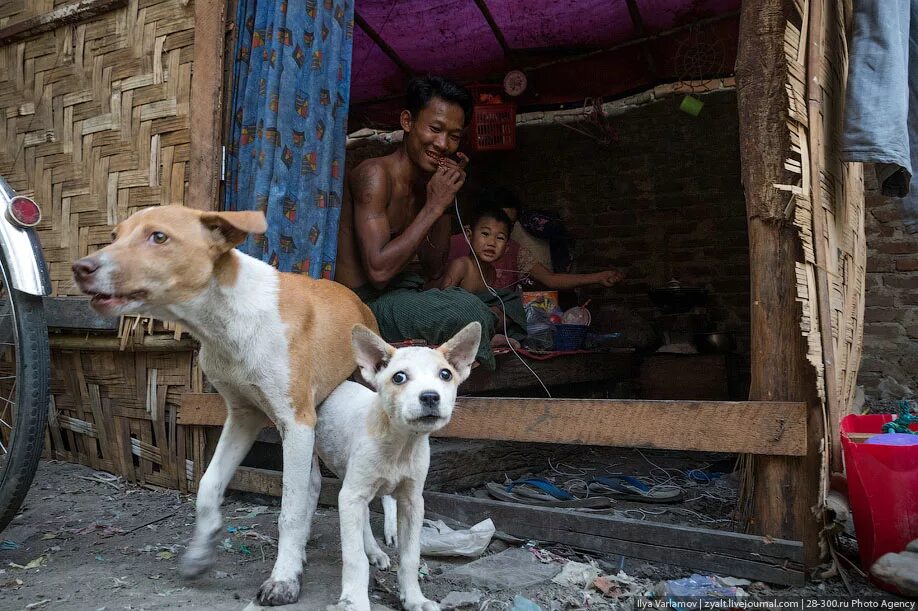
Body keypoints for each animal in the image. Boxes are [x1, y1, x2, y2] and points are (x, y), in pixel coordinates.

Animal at [70, 207, 380, 608]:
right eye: (114, 235)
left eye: (158, 237)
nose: (81, 267)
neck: (225, 321)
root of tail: (356, 299)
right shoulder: (244, 416)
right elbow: (208, 485)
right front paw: (201, 553)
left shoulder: (295, 421)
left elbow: (289, 511)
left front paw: (283, 579)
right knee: (313, 482)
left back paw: (373, 550)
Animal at [318, 322, 482, 608]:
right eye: (399, 378)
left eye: (445, 374)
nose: (430, 397)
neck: (400, 444)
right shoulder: (352, 495)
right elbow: (354, 558)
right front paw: (355, 600)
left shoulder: (413, 501)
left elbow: (410, 557)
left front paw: (415, 598)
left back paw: (376, 549)